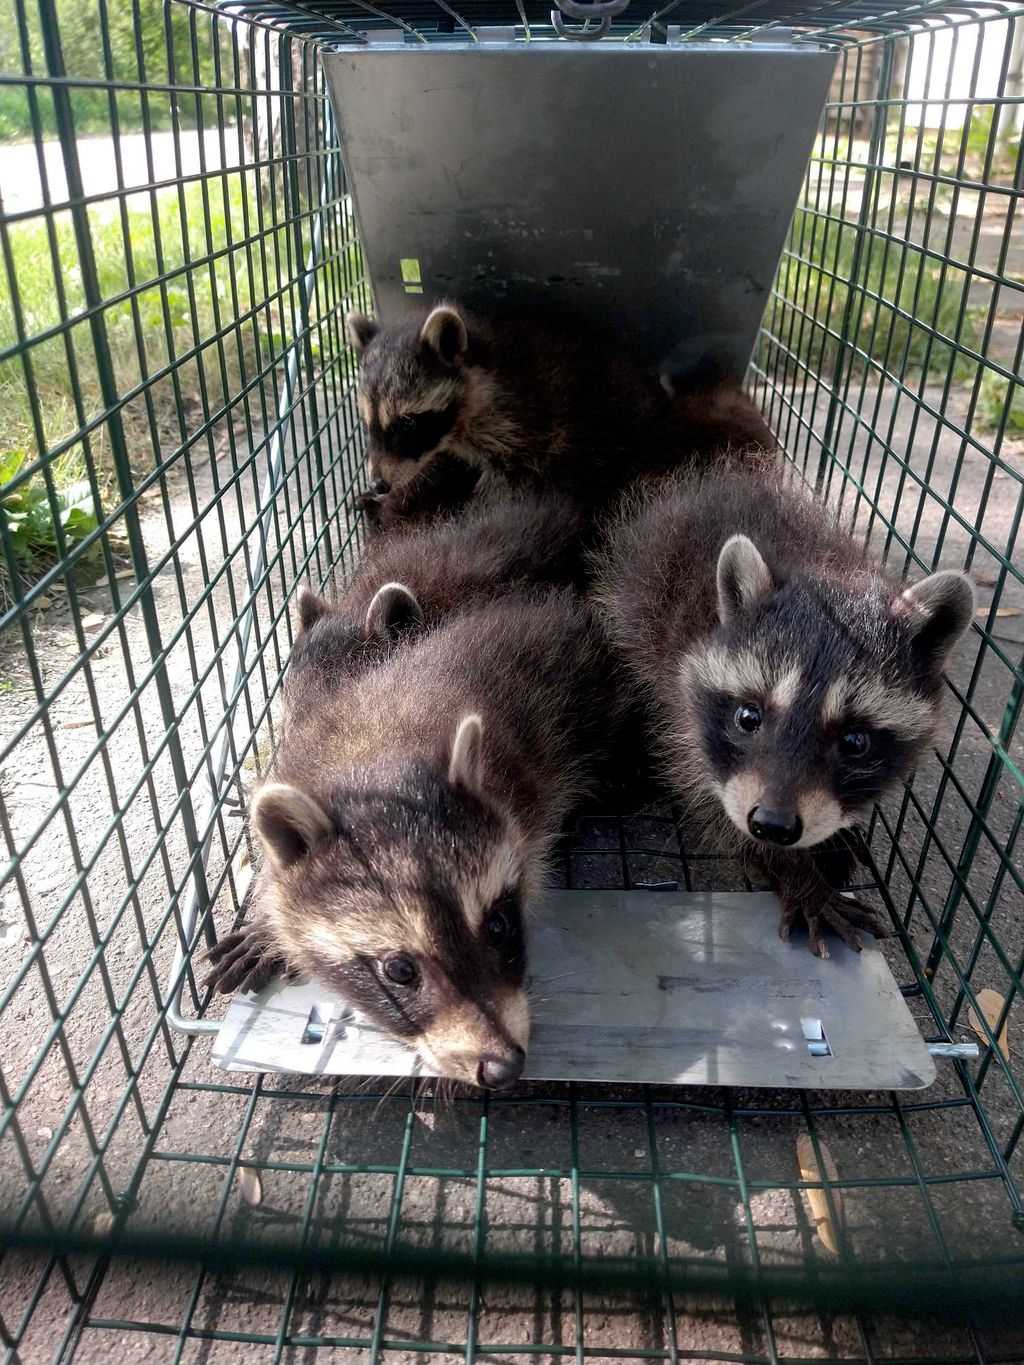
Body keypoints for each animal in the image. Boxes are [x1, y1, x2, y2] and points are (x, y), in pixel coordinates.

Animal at [200, 592, 617, 1092]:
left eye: (497, 926)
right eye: (399, 971)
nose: (504, 1067)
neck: (375, 765)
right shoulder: (299, 755)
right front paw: (267, 925)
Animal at [598, 469, 983, 960]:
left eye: (854, 741)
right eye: (748, 718)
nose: (773, 826)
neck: (823, 567)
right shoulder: (682, 712)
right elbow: (711, 797)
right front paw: (796, 874)